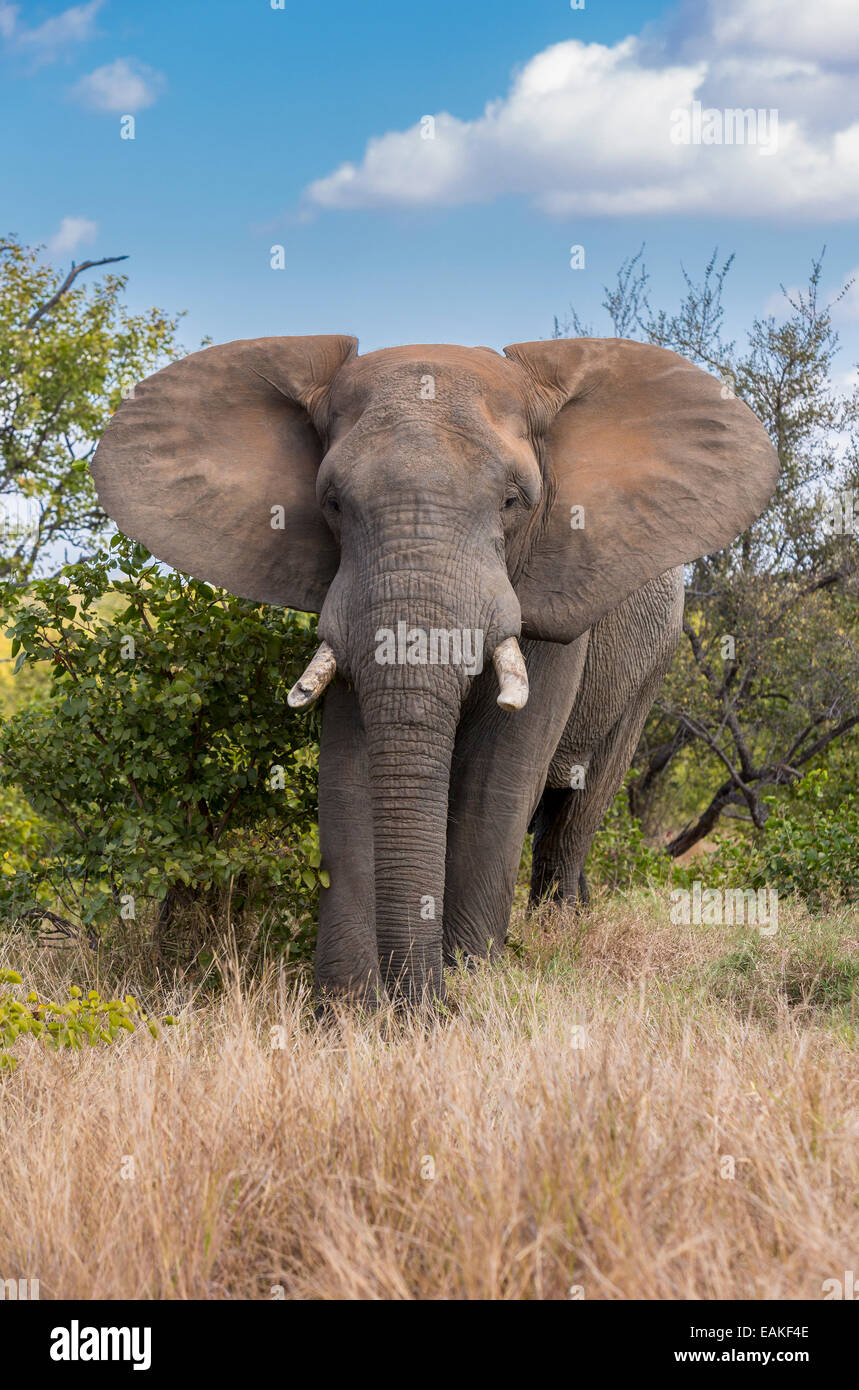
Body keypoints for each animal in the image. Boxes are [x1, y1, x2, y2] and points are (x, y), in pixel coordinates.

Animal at [91, 336, 778, 1011]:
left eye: (513, 502)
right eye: (331, 503)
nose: (422, 1007)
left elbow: (495, 779)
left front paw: (468, 985)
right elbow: (350, 771)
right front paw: (347, 1010)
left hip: (651, 665)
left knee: (575, 812)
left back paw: (560, 930)